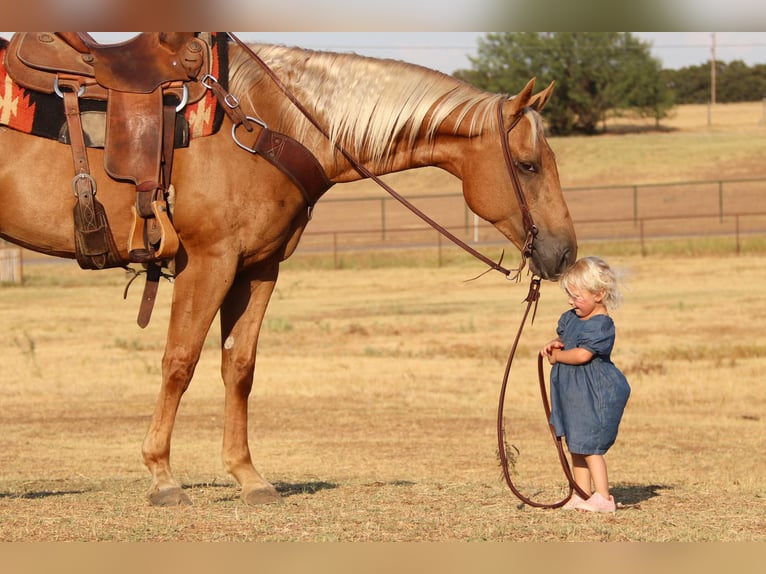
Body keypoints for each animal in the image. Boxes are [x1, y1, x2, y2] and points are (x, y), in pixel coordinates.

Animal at [0, 33, 576, 506]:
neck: (266, 119)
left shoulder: (257, 268)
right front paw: (162, 476)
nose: (565, 253)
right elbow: (180, 362)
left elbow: (239, 367)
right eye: (528, 165)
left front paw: (248, 477)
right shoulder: (208, 262)